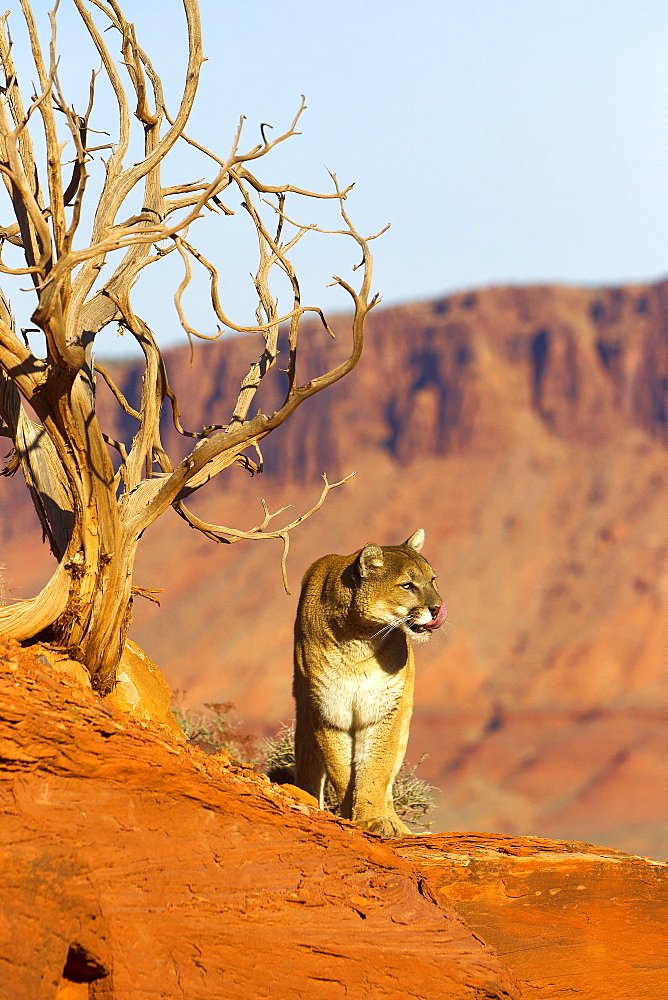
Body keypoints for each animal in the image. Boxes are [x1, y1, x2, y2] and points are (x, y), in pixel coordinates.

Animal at [294, 528, 446, 840]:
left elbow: (376, 767)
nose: (437, 609)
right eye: (407, 585)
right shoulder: (329, 711)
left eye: (432, 579)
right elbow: (341, 767)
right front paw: (354, 815)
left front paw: (375, 819)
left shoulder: (384, 709)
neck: (359, 638)